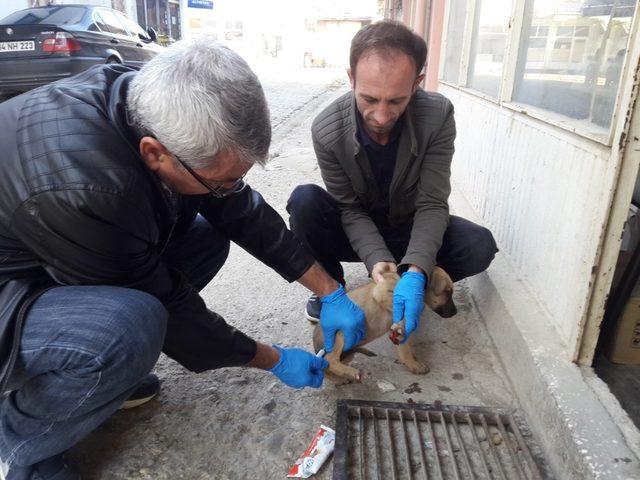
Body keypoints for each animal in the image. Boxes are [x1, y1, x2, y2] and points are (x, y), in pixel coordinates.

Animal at [314, 268, 456, 384]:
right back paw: (350, 373)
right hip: (343, 331)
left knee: (325, 367)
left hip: (348, 354)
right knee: (330, 360)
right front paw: (414, 364)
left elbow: (406, 348)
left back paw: (340, 378)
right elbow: (396, 306)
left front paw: (413, 361)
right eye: (447, 292)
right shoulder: (381, 292)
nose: (455, 312)